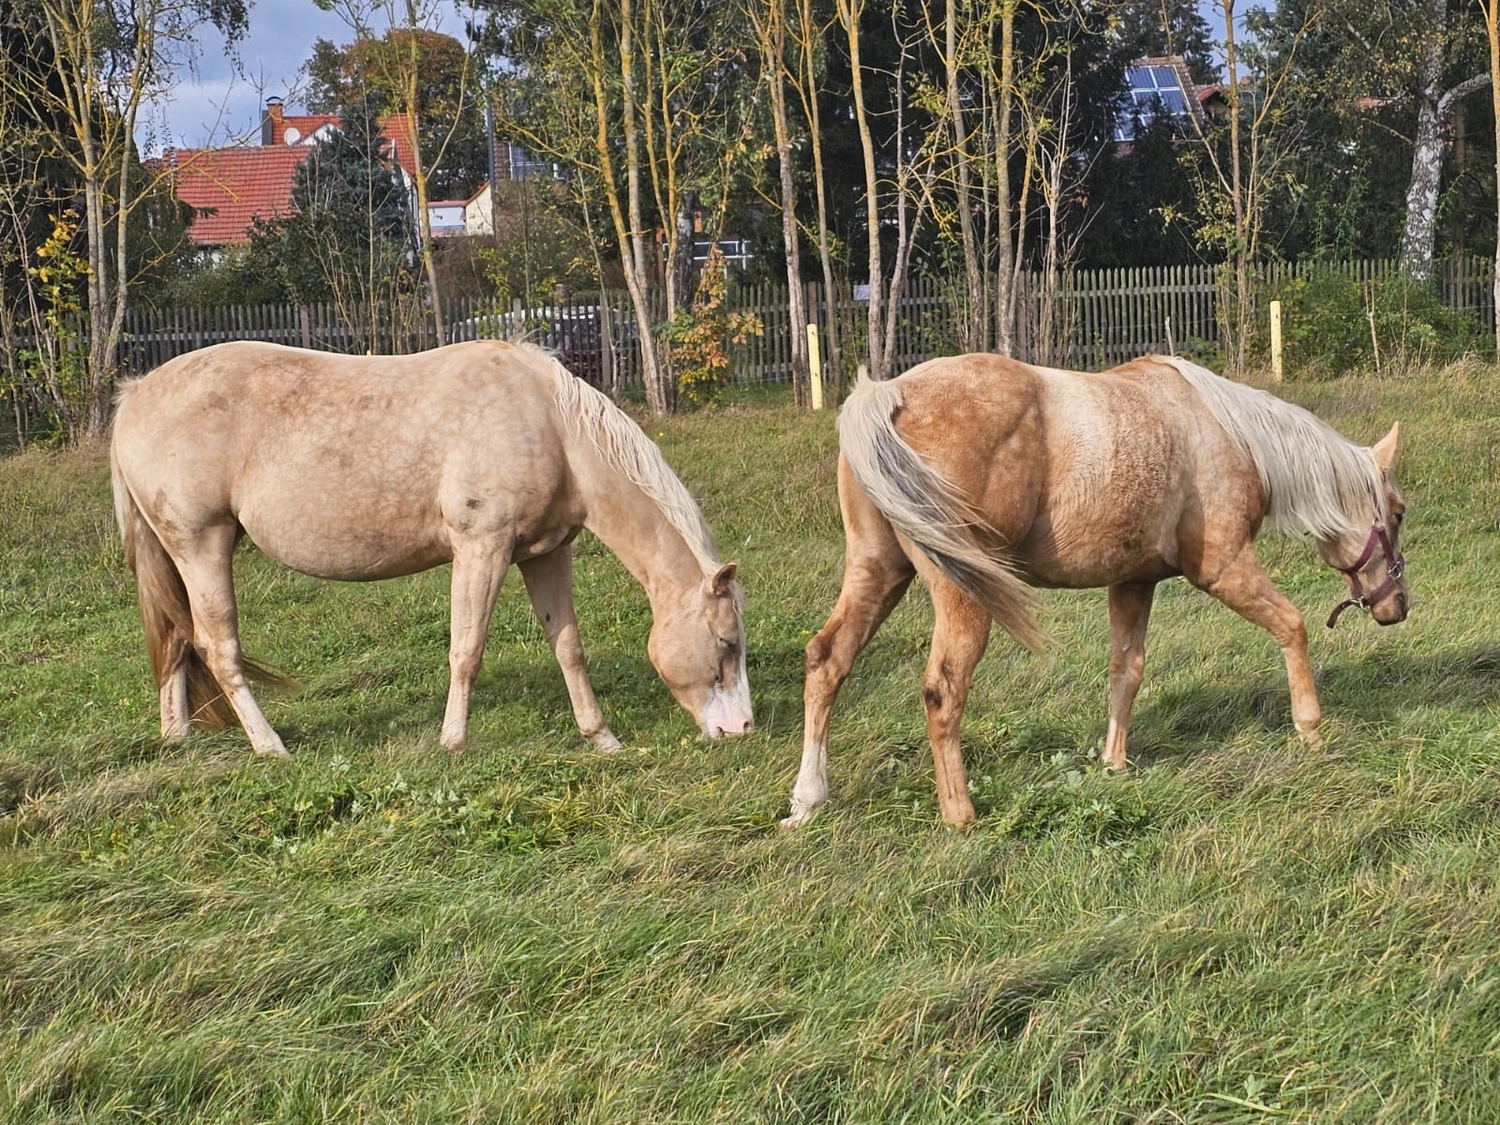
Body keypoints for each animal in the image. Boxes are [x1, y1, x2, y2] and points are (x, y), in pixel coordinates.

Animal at [110, 339, 754, 758]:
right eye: (726, 643)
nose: (741, 728)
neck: (548, 423)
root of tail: (136, 394)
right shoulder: (481, 549)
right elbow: (466, 650)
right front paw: (453, 742)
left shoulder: (545, 554)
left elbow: (568, 647)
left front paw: (602, 739)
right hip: (201, 545)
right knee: (217, 647)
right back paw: (272, 748)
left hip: (176, 554)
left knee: (175, 640)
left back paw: (177, 739)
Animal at [783, 353, 1408, 829]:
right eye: (1398, 512)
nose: (1398, 606)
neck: (1225, 431)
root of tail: (890, 394)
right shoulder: (1225, 568)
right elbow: (1292, 626)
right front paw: (1310, 732)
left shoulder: (1132, 582)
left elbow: (1125, 671)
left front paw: (1115, 764)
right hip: (961, 595)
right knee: (943, 689)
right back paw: (960, 816)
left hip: (878, 571)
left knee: (826, 661)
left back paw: (808, 801)